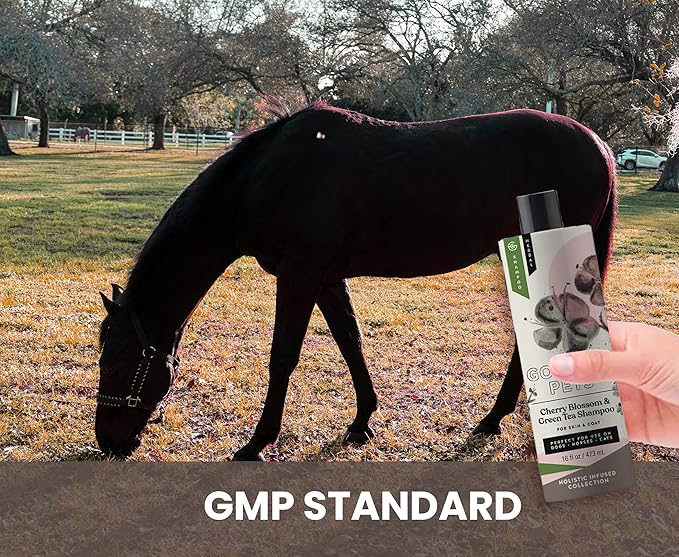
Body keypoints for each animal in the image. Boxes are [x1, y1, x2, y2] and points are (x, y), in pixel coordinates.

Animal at [95, 102, 617, 460]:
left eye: (117, 362)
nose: (108, 441)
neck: (267, 177)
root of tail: (601, 147)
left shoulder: (300, 274)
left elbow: (283, 357)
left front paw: (257, 443)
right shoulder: (326, 278)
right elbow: (351, 341)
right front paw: (362, 420)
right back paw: (498, 418)